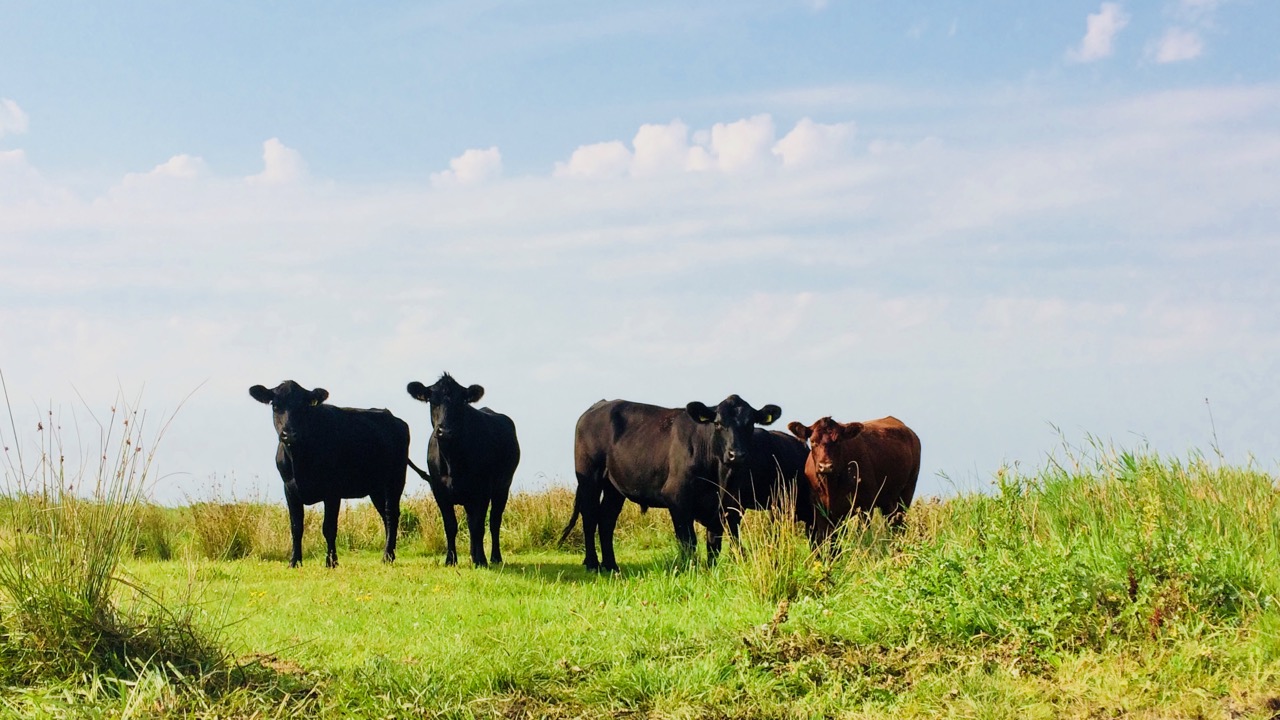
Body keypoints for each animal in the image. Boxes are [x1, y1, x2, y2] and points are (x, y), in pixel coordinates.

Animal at [247, 379, 427, 568]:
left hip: (395, 480)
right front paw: (294, 561)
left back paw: (387, 555)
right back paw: (389, 554)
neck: (300, 460)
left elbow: (329, 527)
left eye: (304, 407)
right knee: (385, 516)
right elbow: (296, 527)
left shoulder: (332, 491)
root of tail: (393, 418)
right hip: (376, 489)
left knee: (392, 514)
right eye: (275, 406)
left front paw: (331, 562)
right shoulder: (289, 489)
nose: (289, 434)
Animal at [404, 371, 514, 563]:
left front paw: (481, 560)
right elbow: (451, 526)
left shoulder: (482, 491)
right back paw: (473, 555)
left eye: (461, 402)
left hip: (503, 487)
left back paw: (494, 558)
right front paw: (451, 560)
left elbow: (479, 526)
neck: (452, 461)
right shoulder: (439, 491)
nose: (445, 431)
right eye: (432, 400)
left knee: (494, 522)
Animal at [565, 394, 783, 568]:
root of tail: (599, 405)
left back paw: (611, 565)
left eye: (750, 424)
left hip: (614, 488)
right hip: (590, 478)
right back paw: (593, 564)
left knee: (606, 520)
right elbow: (688, 540)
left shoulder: (725, 505)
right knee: (590, 517)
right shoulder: (677, 498)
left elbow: (714, 543)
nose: (736, 454)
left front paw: (711, 571)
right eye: (718, 423)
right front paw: (691, 568)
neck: (718, 477)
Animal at [778, 415, 921, 538]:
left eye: (838, 441)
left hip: (906, 493)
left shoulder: (866, 505)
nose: (825, 466)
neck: (831, 485)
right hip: (888, 500)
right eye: (813, 442)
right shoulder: (821, 510)